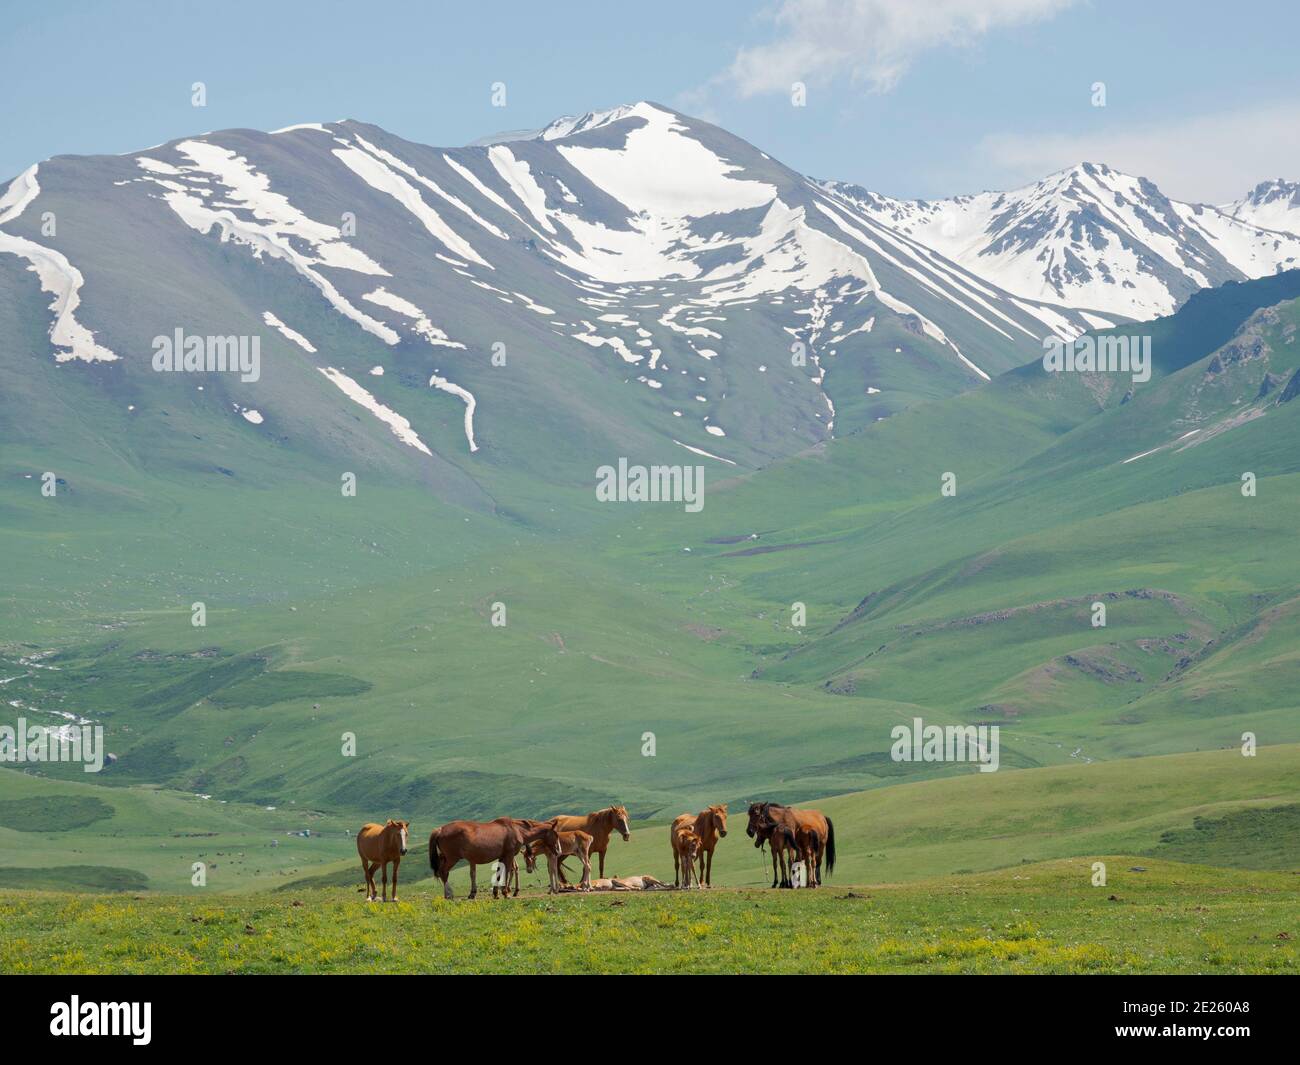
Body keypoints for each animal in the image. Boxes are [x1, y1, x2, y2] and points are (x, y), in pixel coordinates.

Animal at [431, 816, 559, 899]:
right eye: (556, 835)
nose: (558, 851)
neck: (516, 829)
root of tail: (440, 830)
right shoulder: (509, 855)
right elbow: (506, 872)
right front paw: (505, 892)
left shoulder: (502, 856)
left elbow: (498, 873)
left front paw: (496, 893)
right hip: (452, 858)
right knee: (443, 872)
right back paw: (449, 894)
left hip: (445, 858)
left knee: (442, 872)